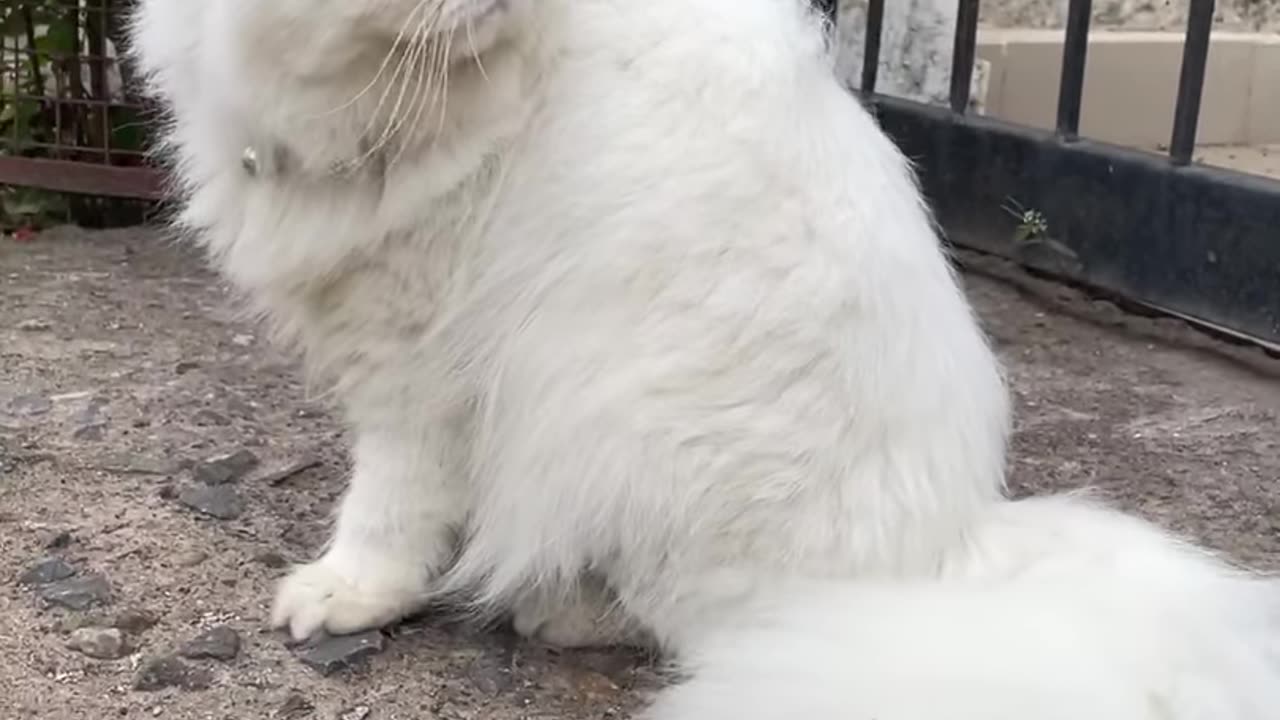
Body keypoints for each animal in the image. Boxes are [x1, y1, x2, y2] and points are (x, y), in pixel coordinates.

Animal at [132, 0, 1280, 712]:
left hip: (628, 434)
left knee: (697, 627)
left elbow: (387, 505)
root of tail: (949, 553)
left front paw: (347, 593)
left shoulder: (414, 362)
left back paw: (555, 608)